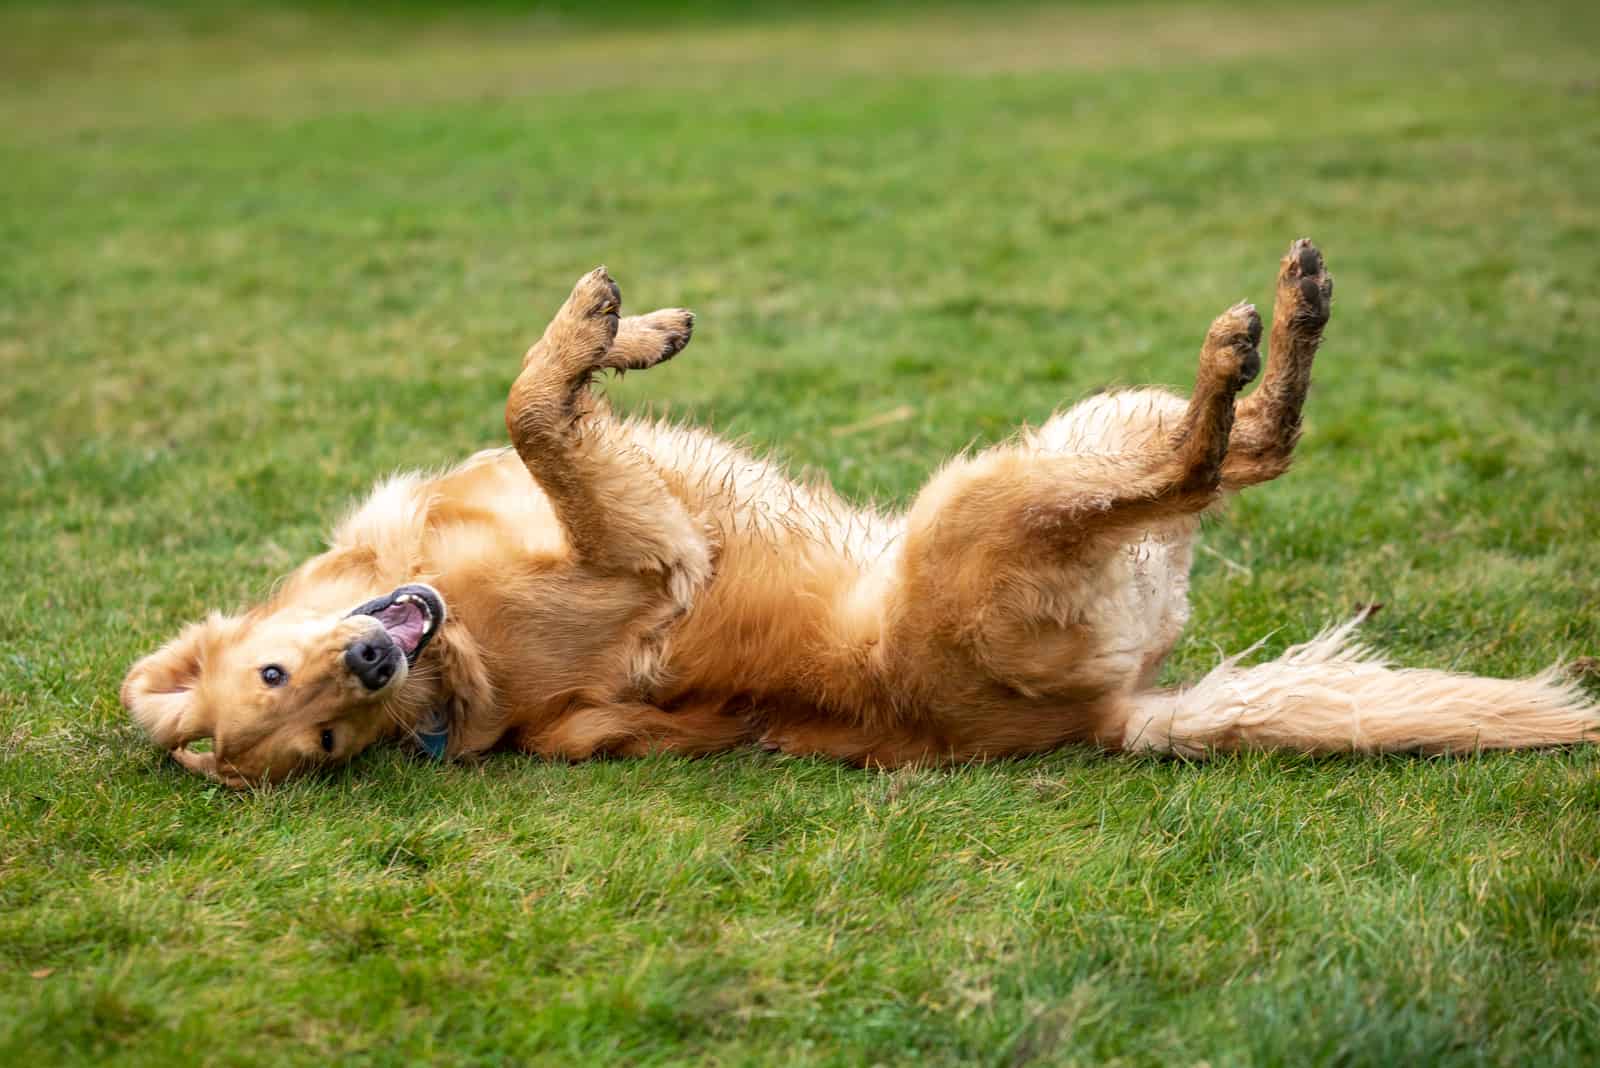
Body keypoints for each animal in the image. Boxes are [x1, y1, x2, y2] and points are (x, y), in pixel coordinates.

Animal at [124, 244, 1600, 793]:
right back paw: (1254, 338)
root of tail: (1106, 716)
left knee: (1244, 449)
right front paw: (600, 329)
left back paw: (1286, 318)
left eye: (290, 686)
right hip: (999, 497)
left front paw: (636, 330)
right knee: (1214, 461)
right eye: (319, 729)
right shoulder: (653, 551)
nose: (374, 661)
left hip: (1072, 433)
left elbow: (546, 406)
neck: (448, 615)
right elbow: (538, 407)